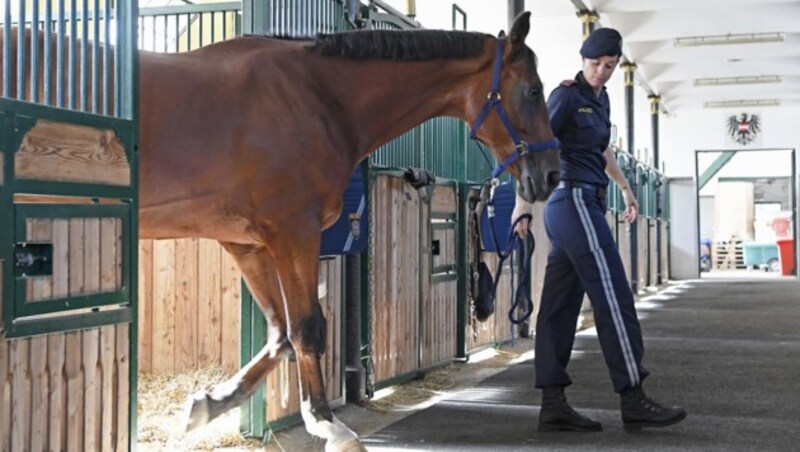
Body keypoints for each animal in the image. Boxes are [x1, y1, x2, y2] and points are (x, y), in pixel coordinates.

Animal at [3, 11, 560, 452]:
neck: (317, 98)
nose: (550, 176)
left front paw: (208, 404)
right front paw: (331, 426)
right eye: (533, 90)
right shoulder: (294, 233)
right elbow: (308, 327)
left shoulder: (247, 243)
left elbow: (280, 334)